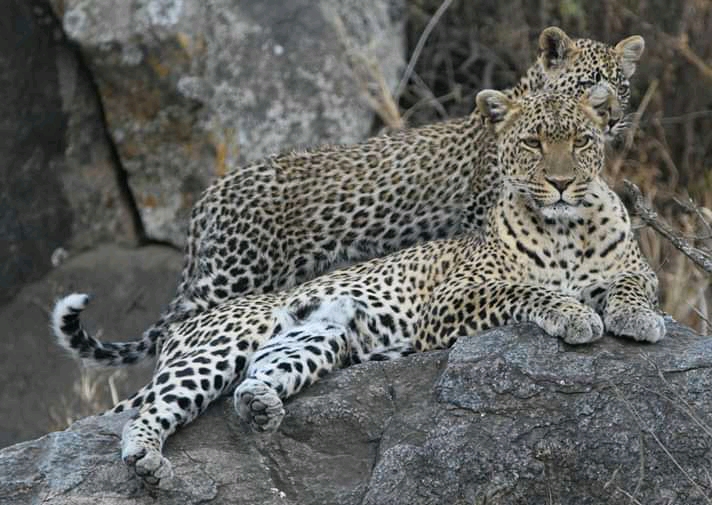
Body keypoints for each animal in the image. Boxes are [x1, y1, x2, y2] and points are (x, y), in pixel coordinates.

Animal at [52, 83, 665, 488]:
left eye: (582, 141)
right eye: (533, 143)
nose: (560, 184)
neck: (568, 227)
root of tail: (184, 324)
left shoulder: (638, 268)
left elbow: (633, 284)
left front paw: (637, 318)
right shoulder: (453, 299)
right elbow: (526, 290)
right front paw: (574, 314)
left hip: (317, 338)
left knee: (255, 377)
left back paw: (261, 408)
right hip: (222, 343)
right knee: (147, 410)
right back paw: (149, 463)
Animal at [96, 27, 645, 366]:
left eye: (623, 86)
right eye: (591, 81)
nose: (615, 118)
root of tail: (210, 192)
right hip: (234, 274)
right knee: (182, 330)